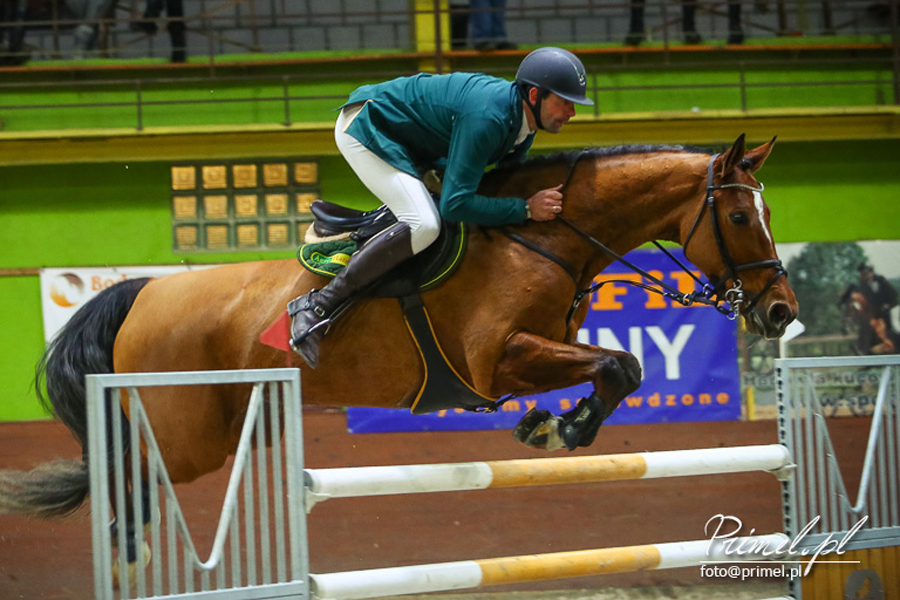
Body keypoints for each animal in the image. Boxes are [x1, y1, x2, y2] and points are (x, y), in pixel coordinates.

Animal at [0, 135, 797, 534]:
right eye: (738, 217)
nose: (781, 313)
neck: (542, 234)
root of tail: (146, 291)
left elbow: (615, 369)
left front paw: (553, 425)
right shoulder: (495, 361)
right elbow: (621, 365)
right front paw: (561, 428)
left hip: (241, 419)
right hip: (186, 435)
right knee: (128, 470)